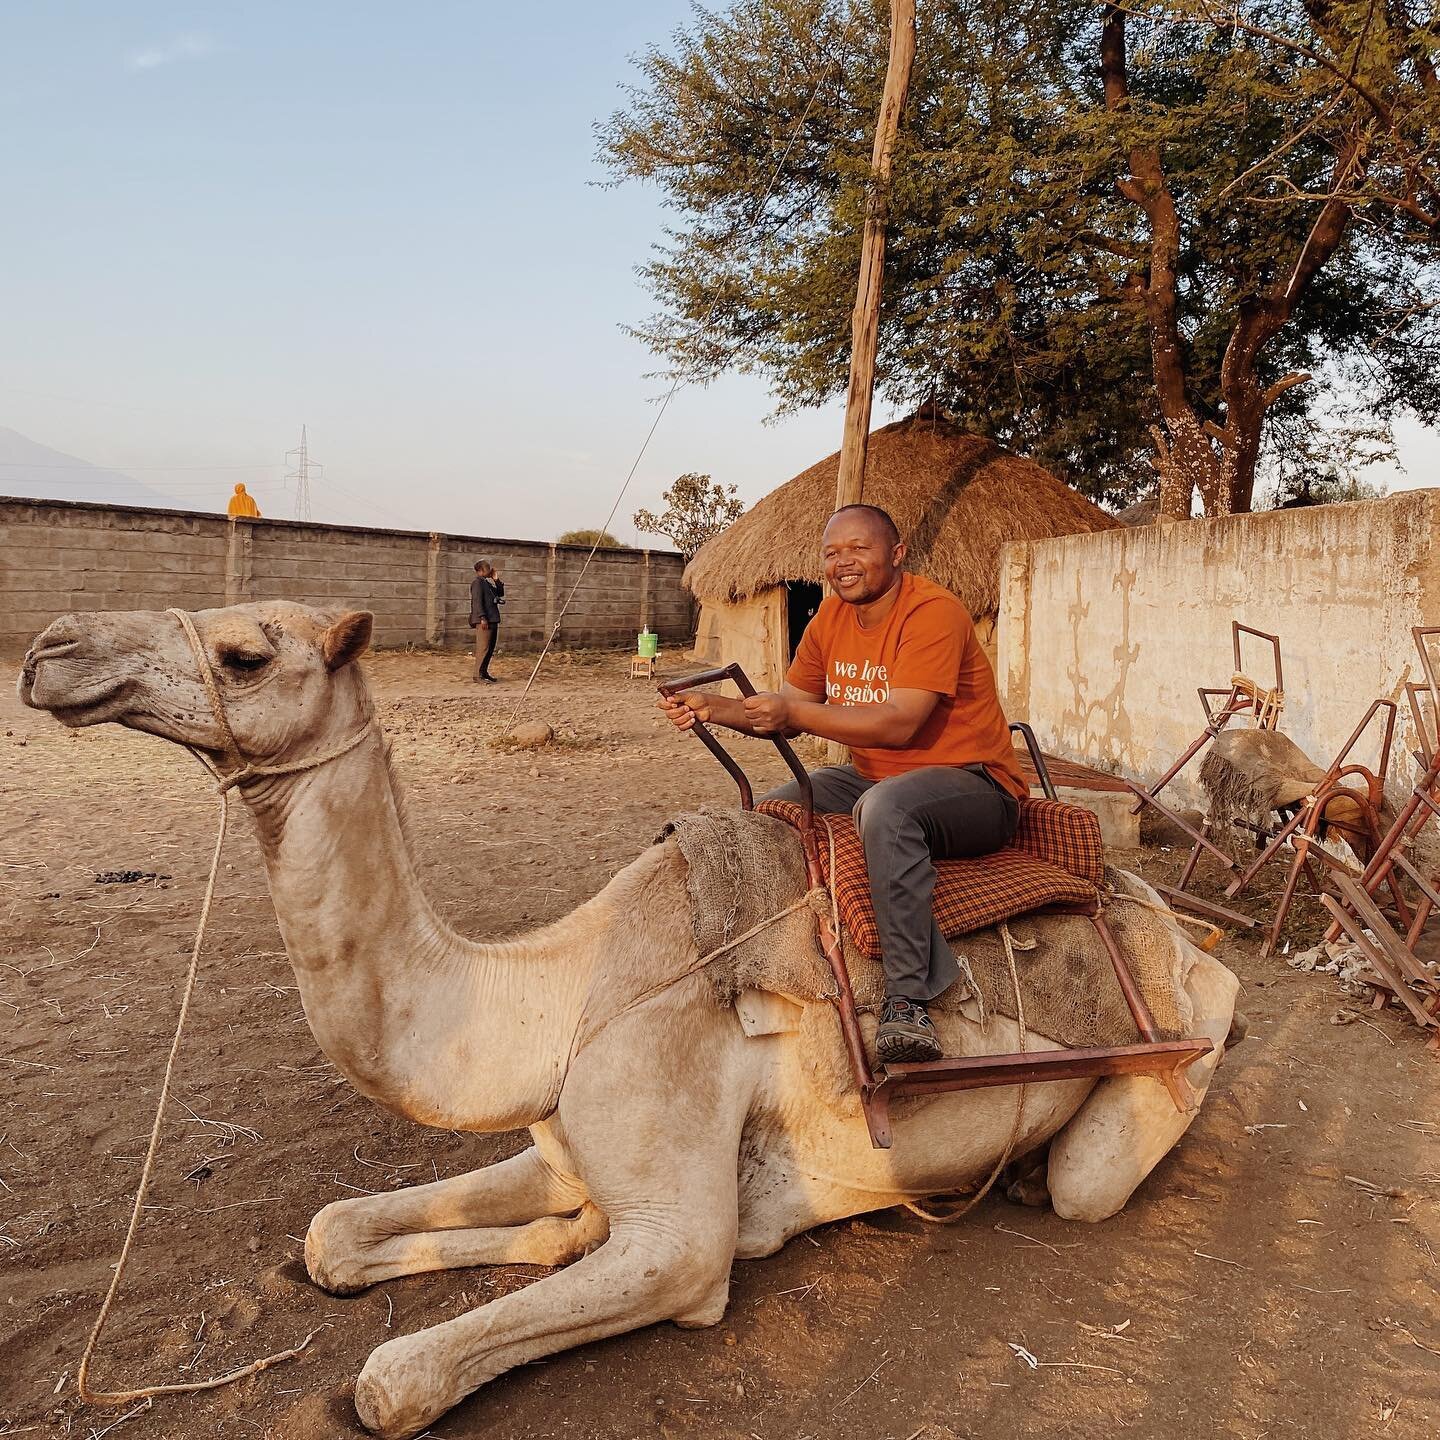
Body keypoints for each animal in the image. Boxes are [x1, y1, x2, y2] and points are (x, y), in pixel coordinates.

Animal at [16, 601, 1244, 1434]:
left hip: (1166, 1076)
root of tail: (1188, 935)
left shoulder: (680, 1235)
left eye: (247, 652)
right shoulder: (561, 1134)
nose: (48, 650)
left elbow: (395, 1378)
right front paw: (556, 1232)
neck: (555, 992)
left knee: (1087, 1181)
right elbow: (332, 1234)